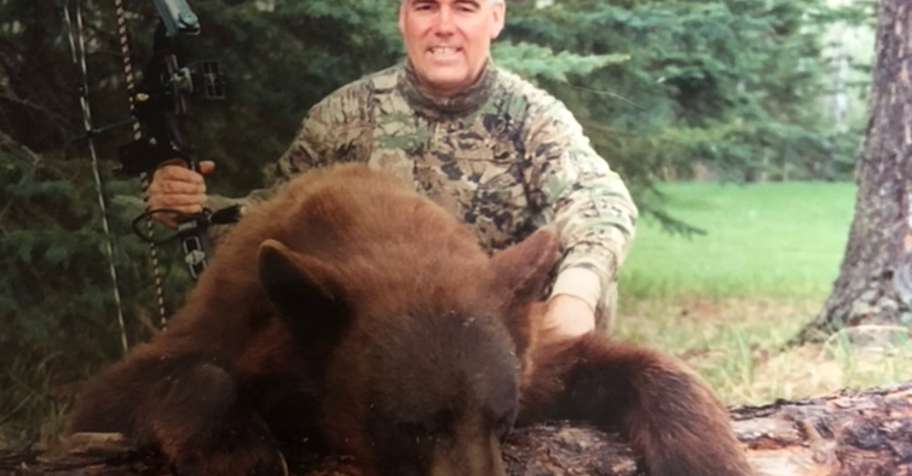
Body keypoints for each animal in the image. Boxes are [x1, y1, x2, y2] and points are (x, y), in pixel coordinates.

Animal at [67, 164, 752, 476]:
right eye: (413, 426)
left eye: (502, 419)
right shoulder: (228, 320)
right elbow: (134, 388)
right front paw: (241, 454)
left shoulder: (526, 360)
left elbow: (628, 366)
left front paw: (704, 455)